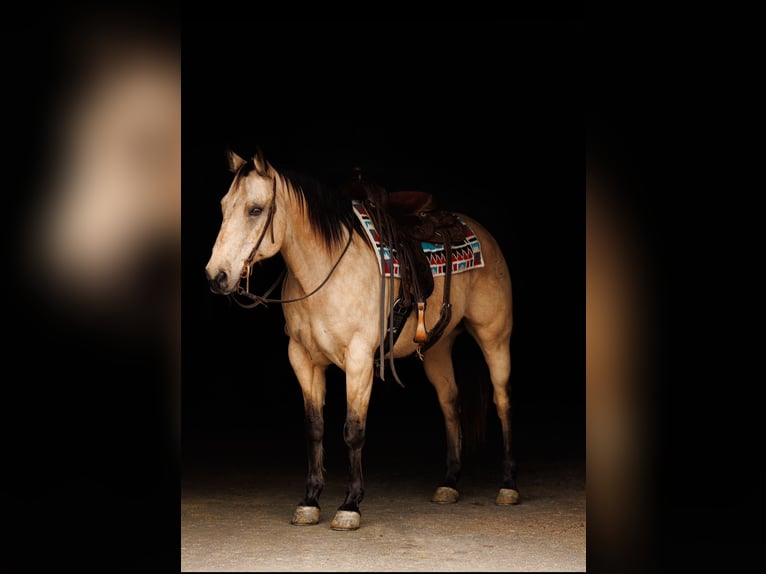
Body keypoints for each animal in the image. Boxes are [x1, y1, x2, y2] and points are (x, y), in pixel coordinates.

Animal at [204, 147, 520, 532]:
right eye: (224, 206)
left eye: (255, 209)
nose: (216, 275)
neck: (324, 270)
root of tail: (479, 231)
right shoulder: (302, 358)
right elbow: (314, 427)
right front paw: (310, 500)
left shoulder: (358, 358)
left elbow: (353, 429)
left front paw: (350, 505)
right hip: (437, 348)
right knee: (450, 403)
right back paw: (449, 482)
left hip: (494, 337)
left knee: (502, 402)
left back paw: (508, 485)